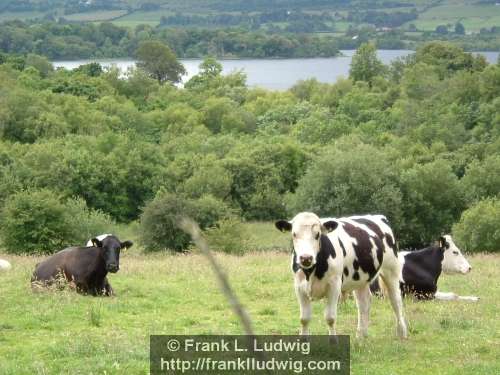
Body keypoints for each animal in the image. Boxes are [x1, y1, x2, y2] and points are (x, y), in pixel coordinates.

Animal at [276, 213, 408, 340]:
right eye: (294, 234)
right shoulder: (299, 287)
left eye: (317, 235)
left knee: (396, 300)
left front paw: (333, 342)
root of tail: (378, 216)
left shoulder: (334, 286)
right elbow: (304, 319)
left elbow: (330, 317)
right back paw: (361, 335)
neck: (311, 272)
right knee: (364, 302)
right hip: (360, 278)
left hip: (391, 270)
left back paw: (402, 333)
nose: (306, 258)